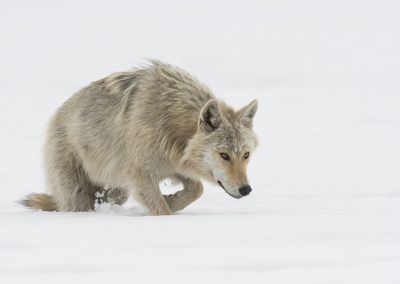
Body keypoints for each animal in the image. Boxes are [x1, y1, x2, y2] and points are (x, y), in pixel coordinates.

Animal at [21, 60, 258, 215]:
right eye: (224, 155)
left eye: (246, 155)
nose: (246, 190)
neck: (169, 120)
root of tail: (56, 115)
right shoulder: (142, 174)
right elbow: (162, 210)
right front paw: (167, 209)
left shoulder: (174, 166)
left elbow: (197, 189)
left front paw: (173, 201)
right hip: (79, 193)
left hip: (117, 190)